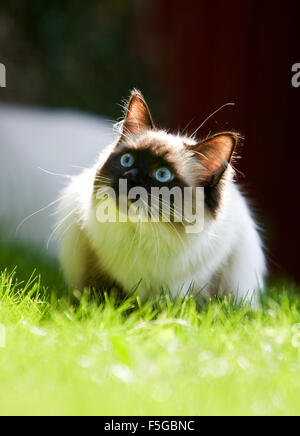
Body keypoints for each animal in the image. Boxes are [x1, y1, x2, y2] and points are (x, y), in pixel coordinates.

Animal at [57, 88, 266, 304]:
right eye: (127, 160)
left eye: (163, 174)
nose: (129, 177)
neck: (143, 234)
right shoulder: (97, 266)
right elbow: (103, 296)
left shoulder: (201, 281)